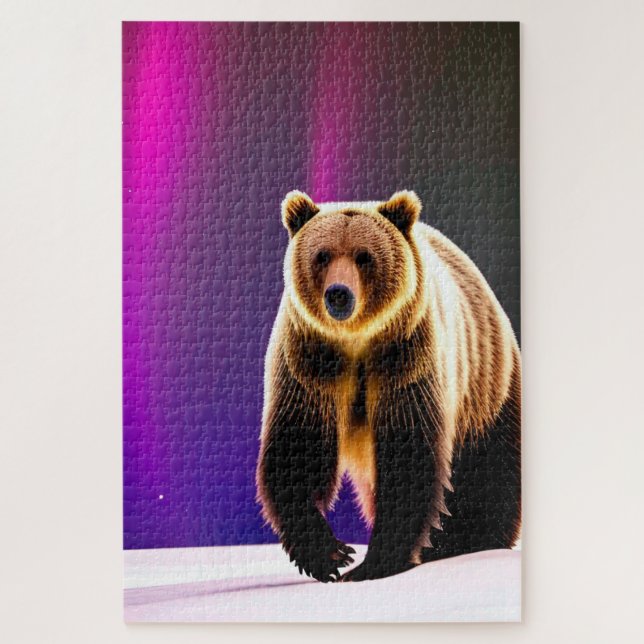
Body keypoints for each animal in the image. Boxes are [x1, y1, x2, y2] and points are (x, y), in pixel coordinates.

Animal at [256, 189, 521, 582]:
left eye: (364, 256)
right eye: (323, 255)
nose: (339, 294)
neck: (357, 341)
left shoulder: (406, 357)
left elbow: (408, 454)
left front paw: (374, 562)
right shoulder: (310, 360)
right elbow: (299, 448)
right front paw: (329, 554)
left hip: (487, 388)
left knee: (489, 472)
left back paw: (467, 539)